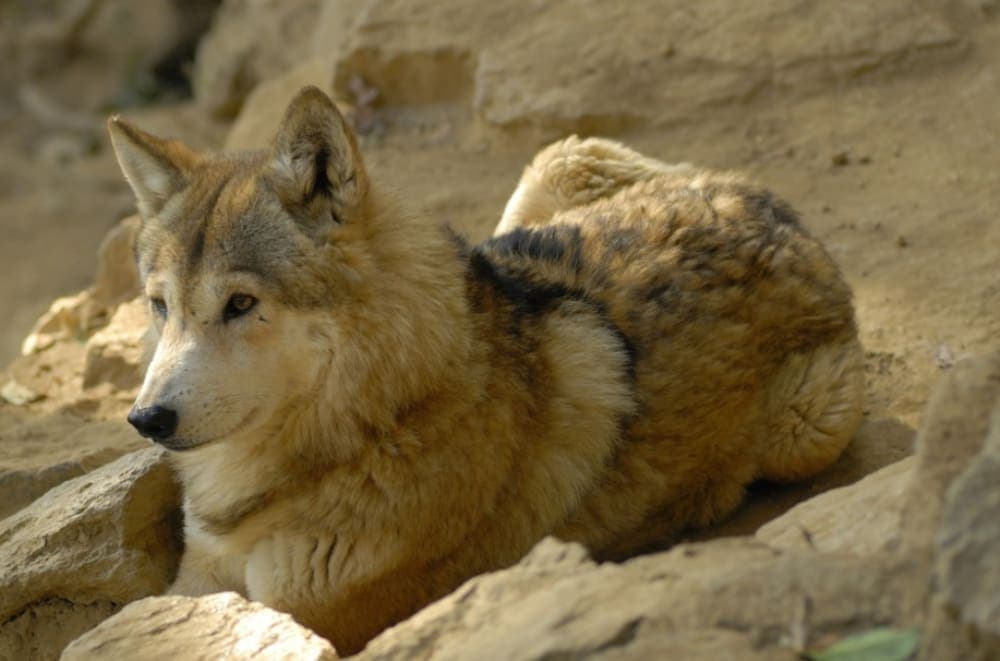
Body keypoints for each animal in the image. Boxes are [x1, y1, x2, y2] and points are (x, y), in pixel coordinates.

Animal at [108, 86, 863, 654]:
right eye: (160, 305)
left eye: (240, 303)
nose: (147, 419)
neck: (371, 425)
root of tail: (771, 209)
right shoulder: (199, 576)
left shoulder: (307, 611)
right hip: (542, 182)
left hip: (808, 427)